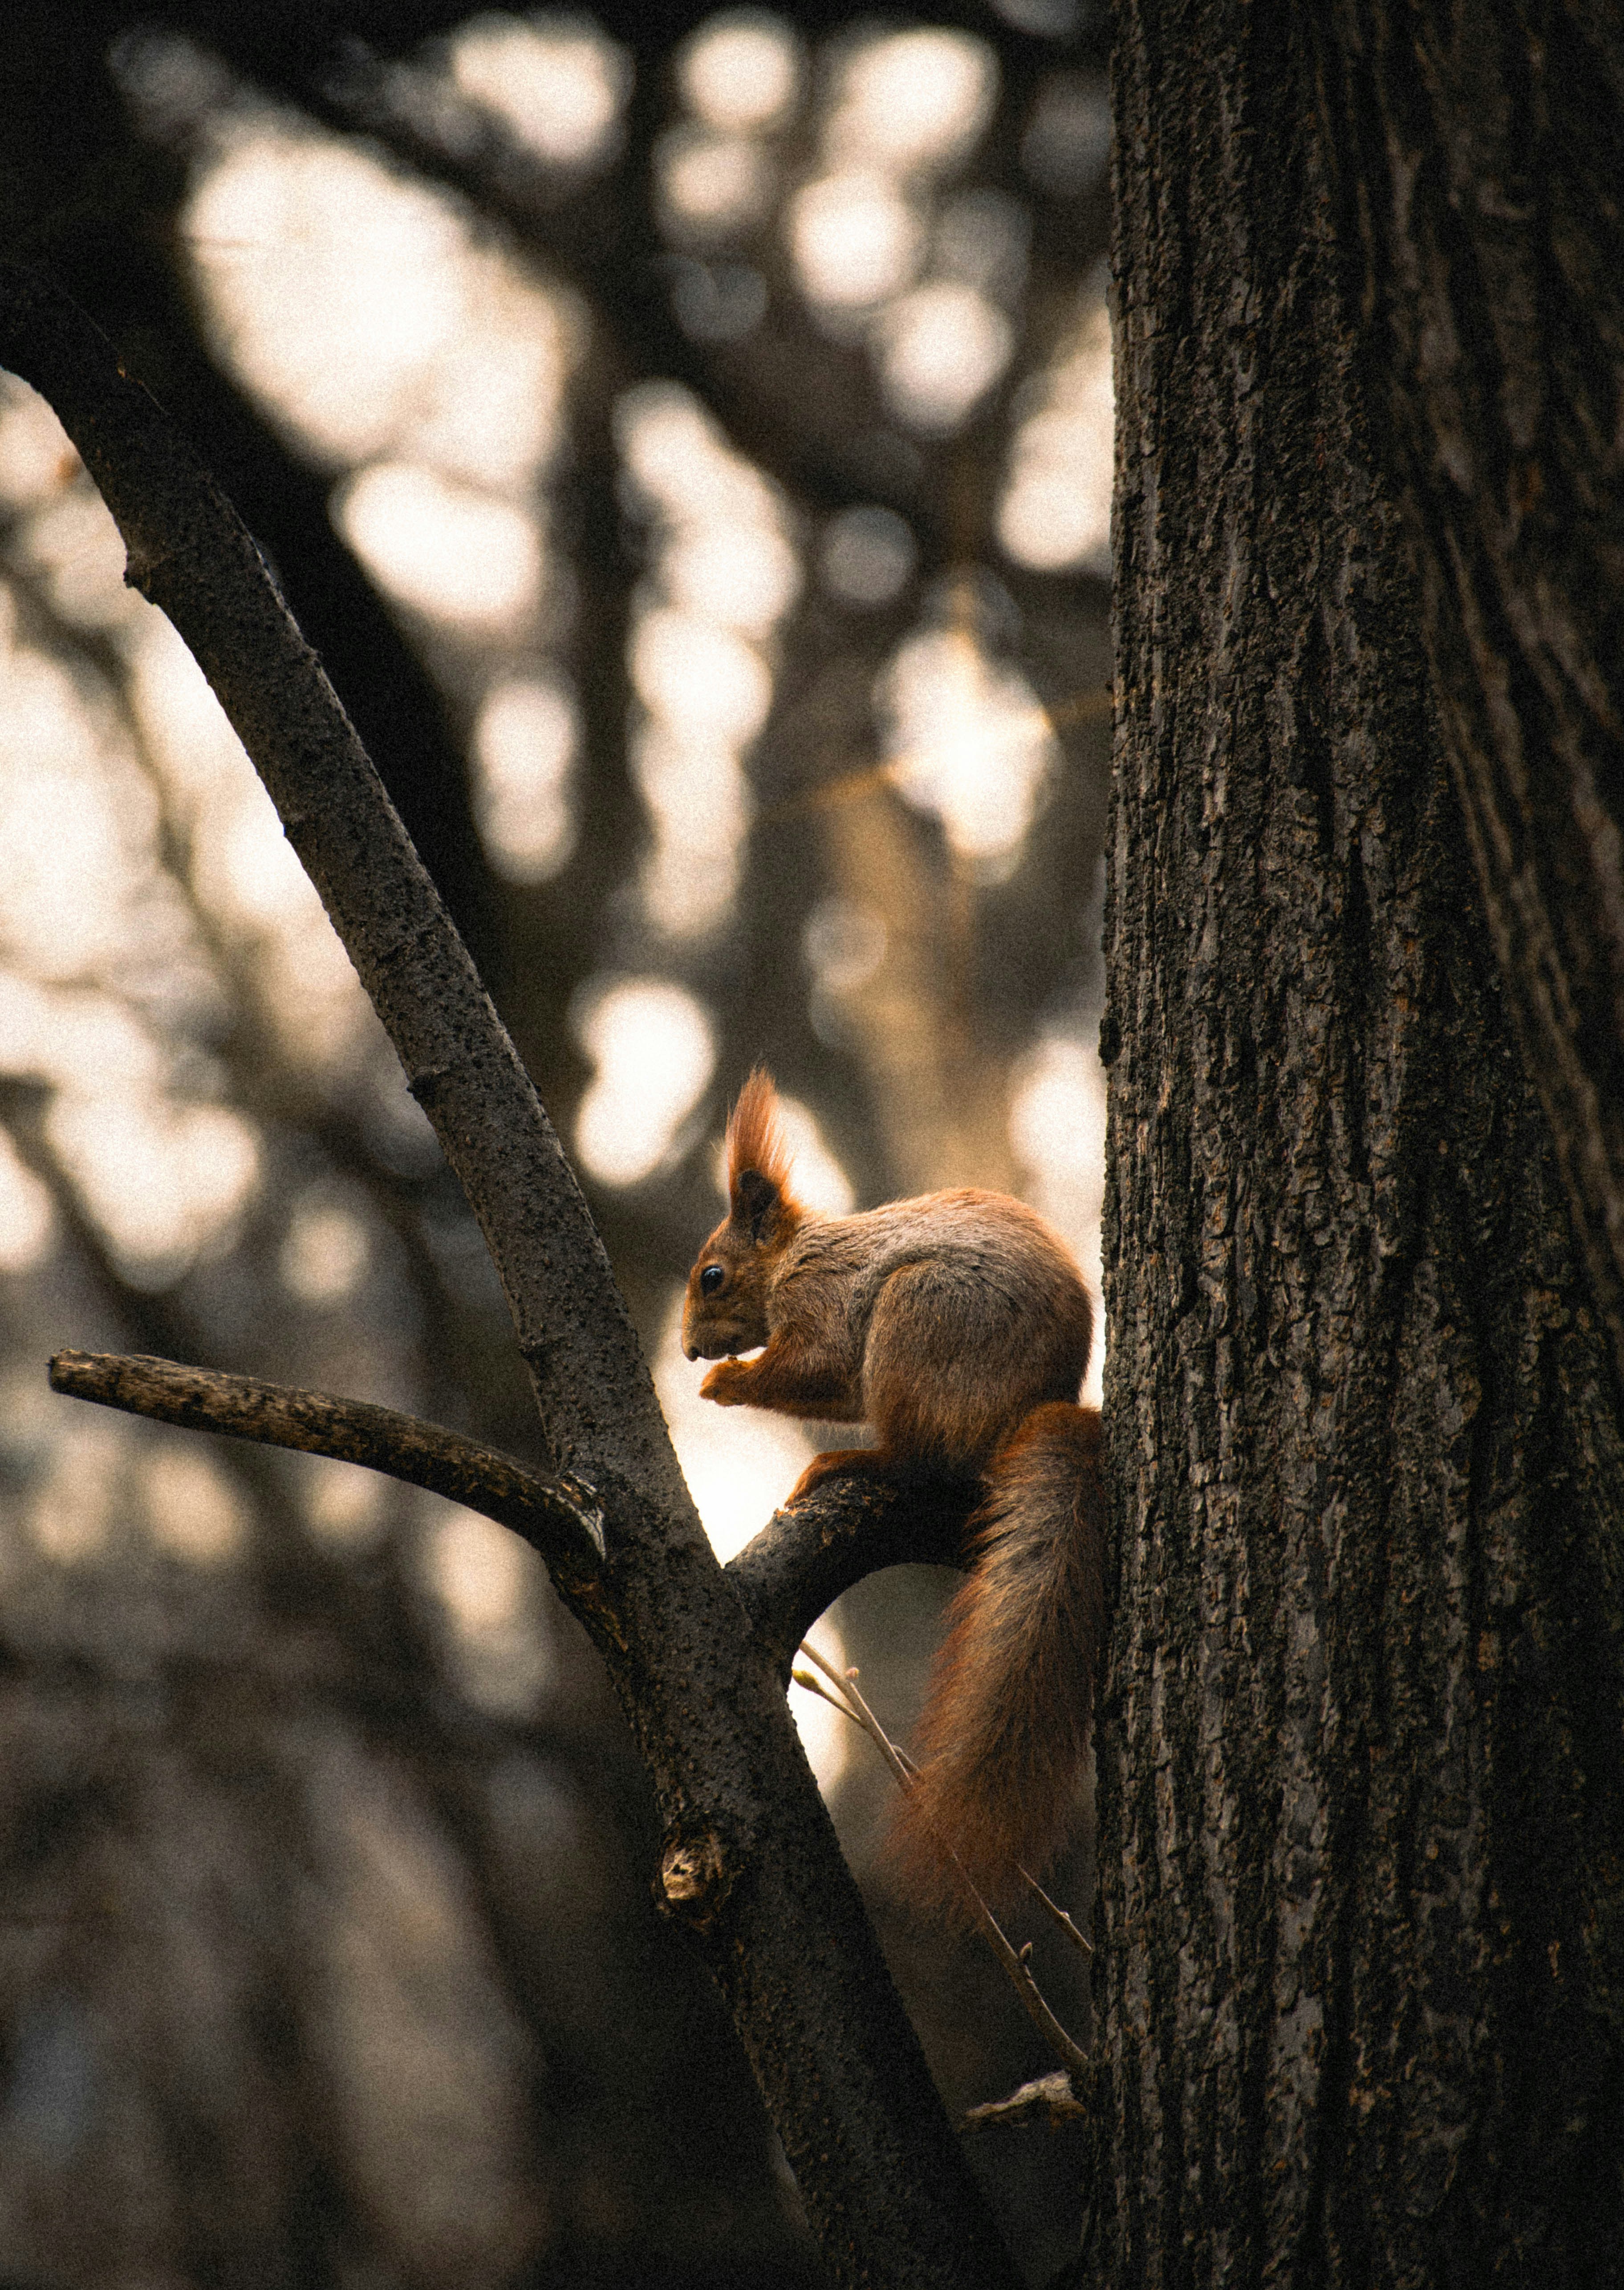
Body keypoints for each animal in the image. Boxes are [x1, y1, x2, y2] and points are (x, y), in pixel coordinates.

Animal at [682, 1068, 1105, 1918]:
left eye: (712, 1276)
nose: (684, 1350)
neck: (796, 1259)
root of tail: (1027, 1414)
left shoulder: (823, 1304)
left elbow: (816, 1366)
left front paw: (729, 1381)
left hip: (916, 1320)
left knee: (918, 1462)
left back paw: (849, 1461)